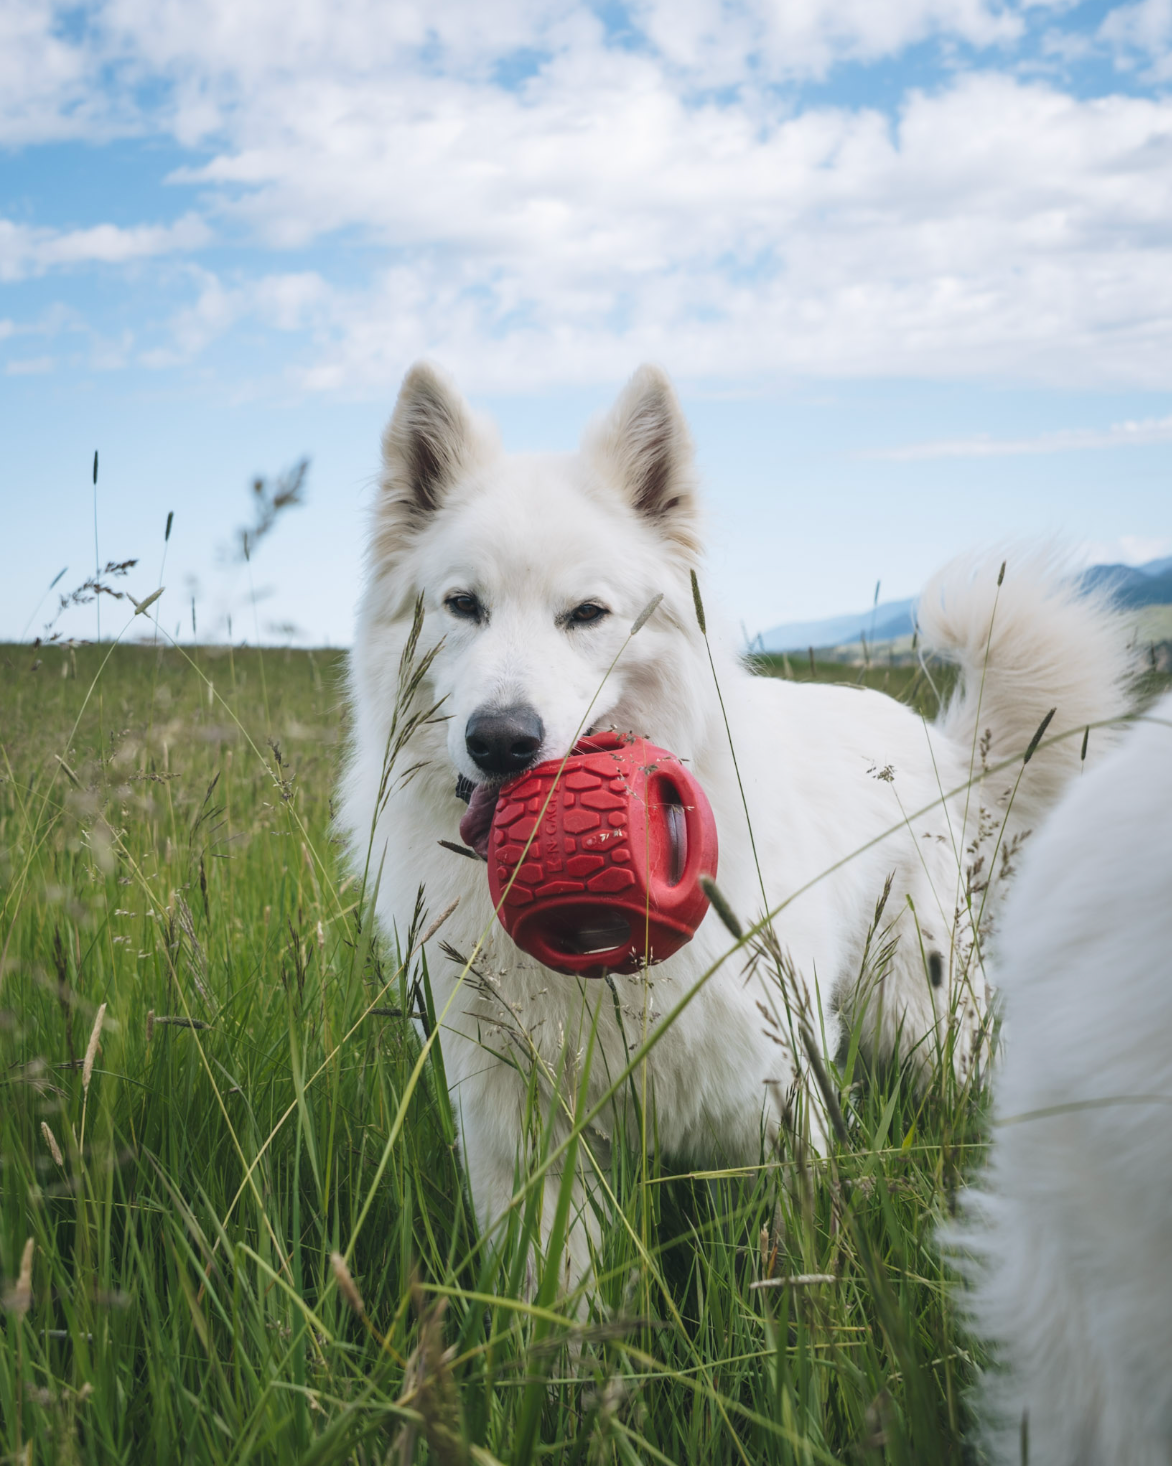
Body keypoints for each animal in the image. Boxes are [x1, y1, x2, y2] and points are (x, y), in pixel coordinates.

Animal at [340, 361, 1135, 1290]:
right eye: (462, 605)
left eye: (587, 614)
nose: (502, 740)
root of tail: (938, 746)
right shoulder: (525, 1133)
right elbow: (563, 1293)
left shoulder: (773, 1094)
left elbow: (796, 1269)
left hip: (930, 1017)